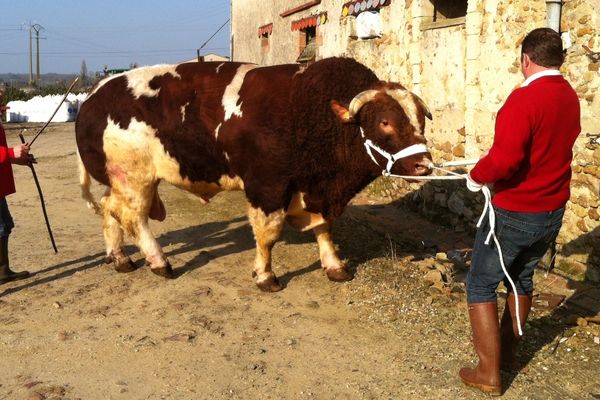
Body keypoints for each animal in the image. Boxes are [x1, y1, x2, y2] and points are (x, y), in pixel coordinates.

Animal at [76, 57, 432, 290]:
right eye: (385, 121)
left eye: (420, 120)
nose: (424, 165)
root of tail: (96, 92)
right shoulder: (268, 187)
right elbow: (267, 234)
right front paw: (265, 276)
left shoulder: (315, 190)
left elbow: (325, 229)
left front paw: (334, 265)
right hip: (135, 179)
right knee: (134, 218)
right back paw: (159, 262)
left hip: (118, 181)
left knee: (110, 211)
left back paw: (119, 258)